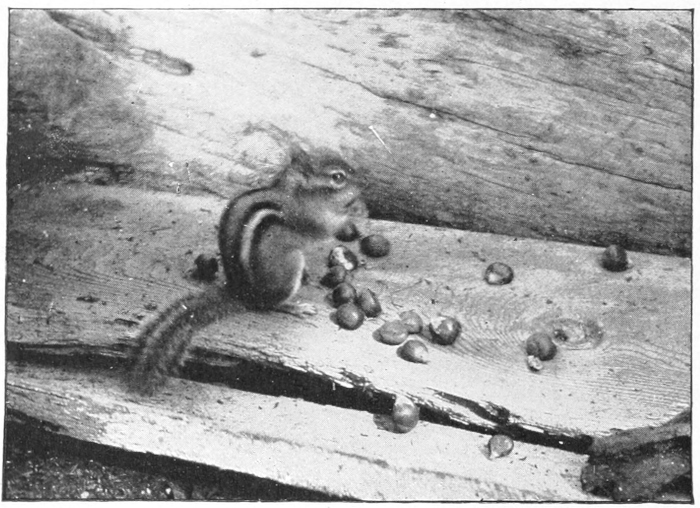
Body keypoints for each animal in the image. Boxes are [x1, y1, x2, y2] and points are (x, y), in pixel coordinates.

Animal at [128, 147, 366, 395]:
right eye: (338, 177)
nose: (363, 185)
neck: (297, 192)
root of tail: (244, 294)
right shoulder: (309, 218)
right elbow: (327, 229)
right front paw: (355, 210)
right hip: (290, 265)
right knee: (272, 304)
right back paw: (296, 306)